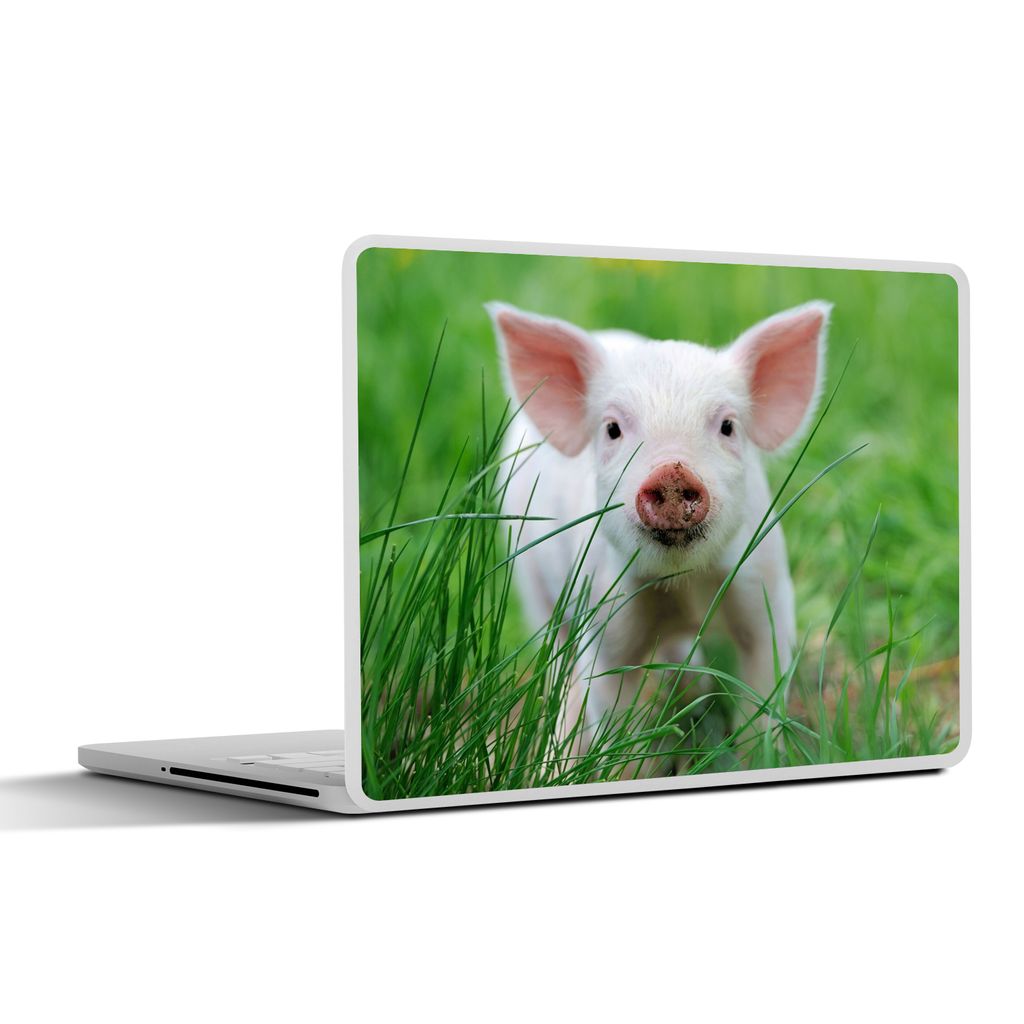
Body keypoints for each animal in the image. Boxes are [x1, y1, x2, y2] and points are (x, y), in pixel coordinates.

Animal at [487, 299, 830, 775]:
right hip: (530, 578)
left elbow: (762, 692)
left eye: (727, 426)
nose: (672, 472)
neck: (681, 584)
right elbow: (613, 711)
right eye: (612, 429)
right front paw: (626, 771)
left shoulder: (768, 591)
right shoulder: (603, 612)